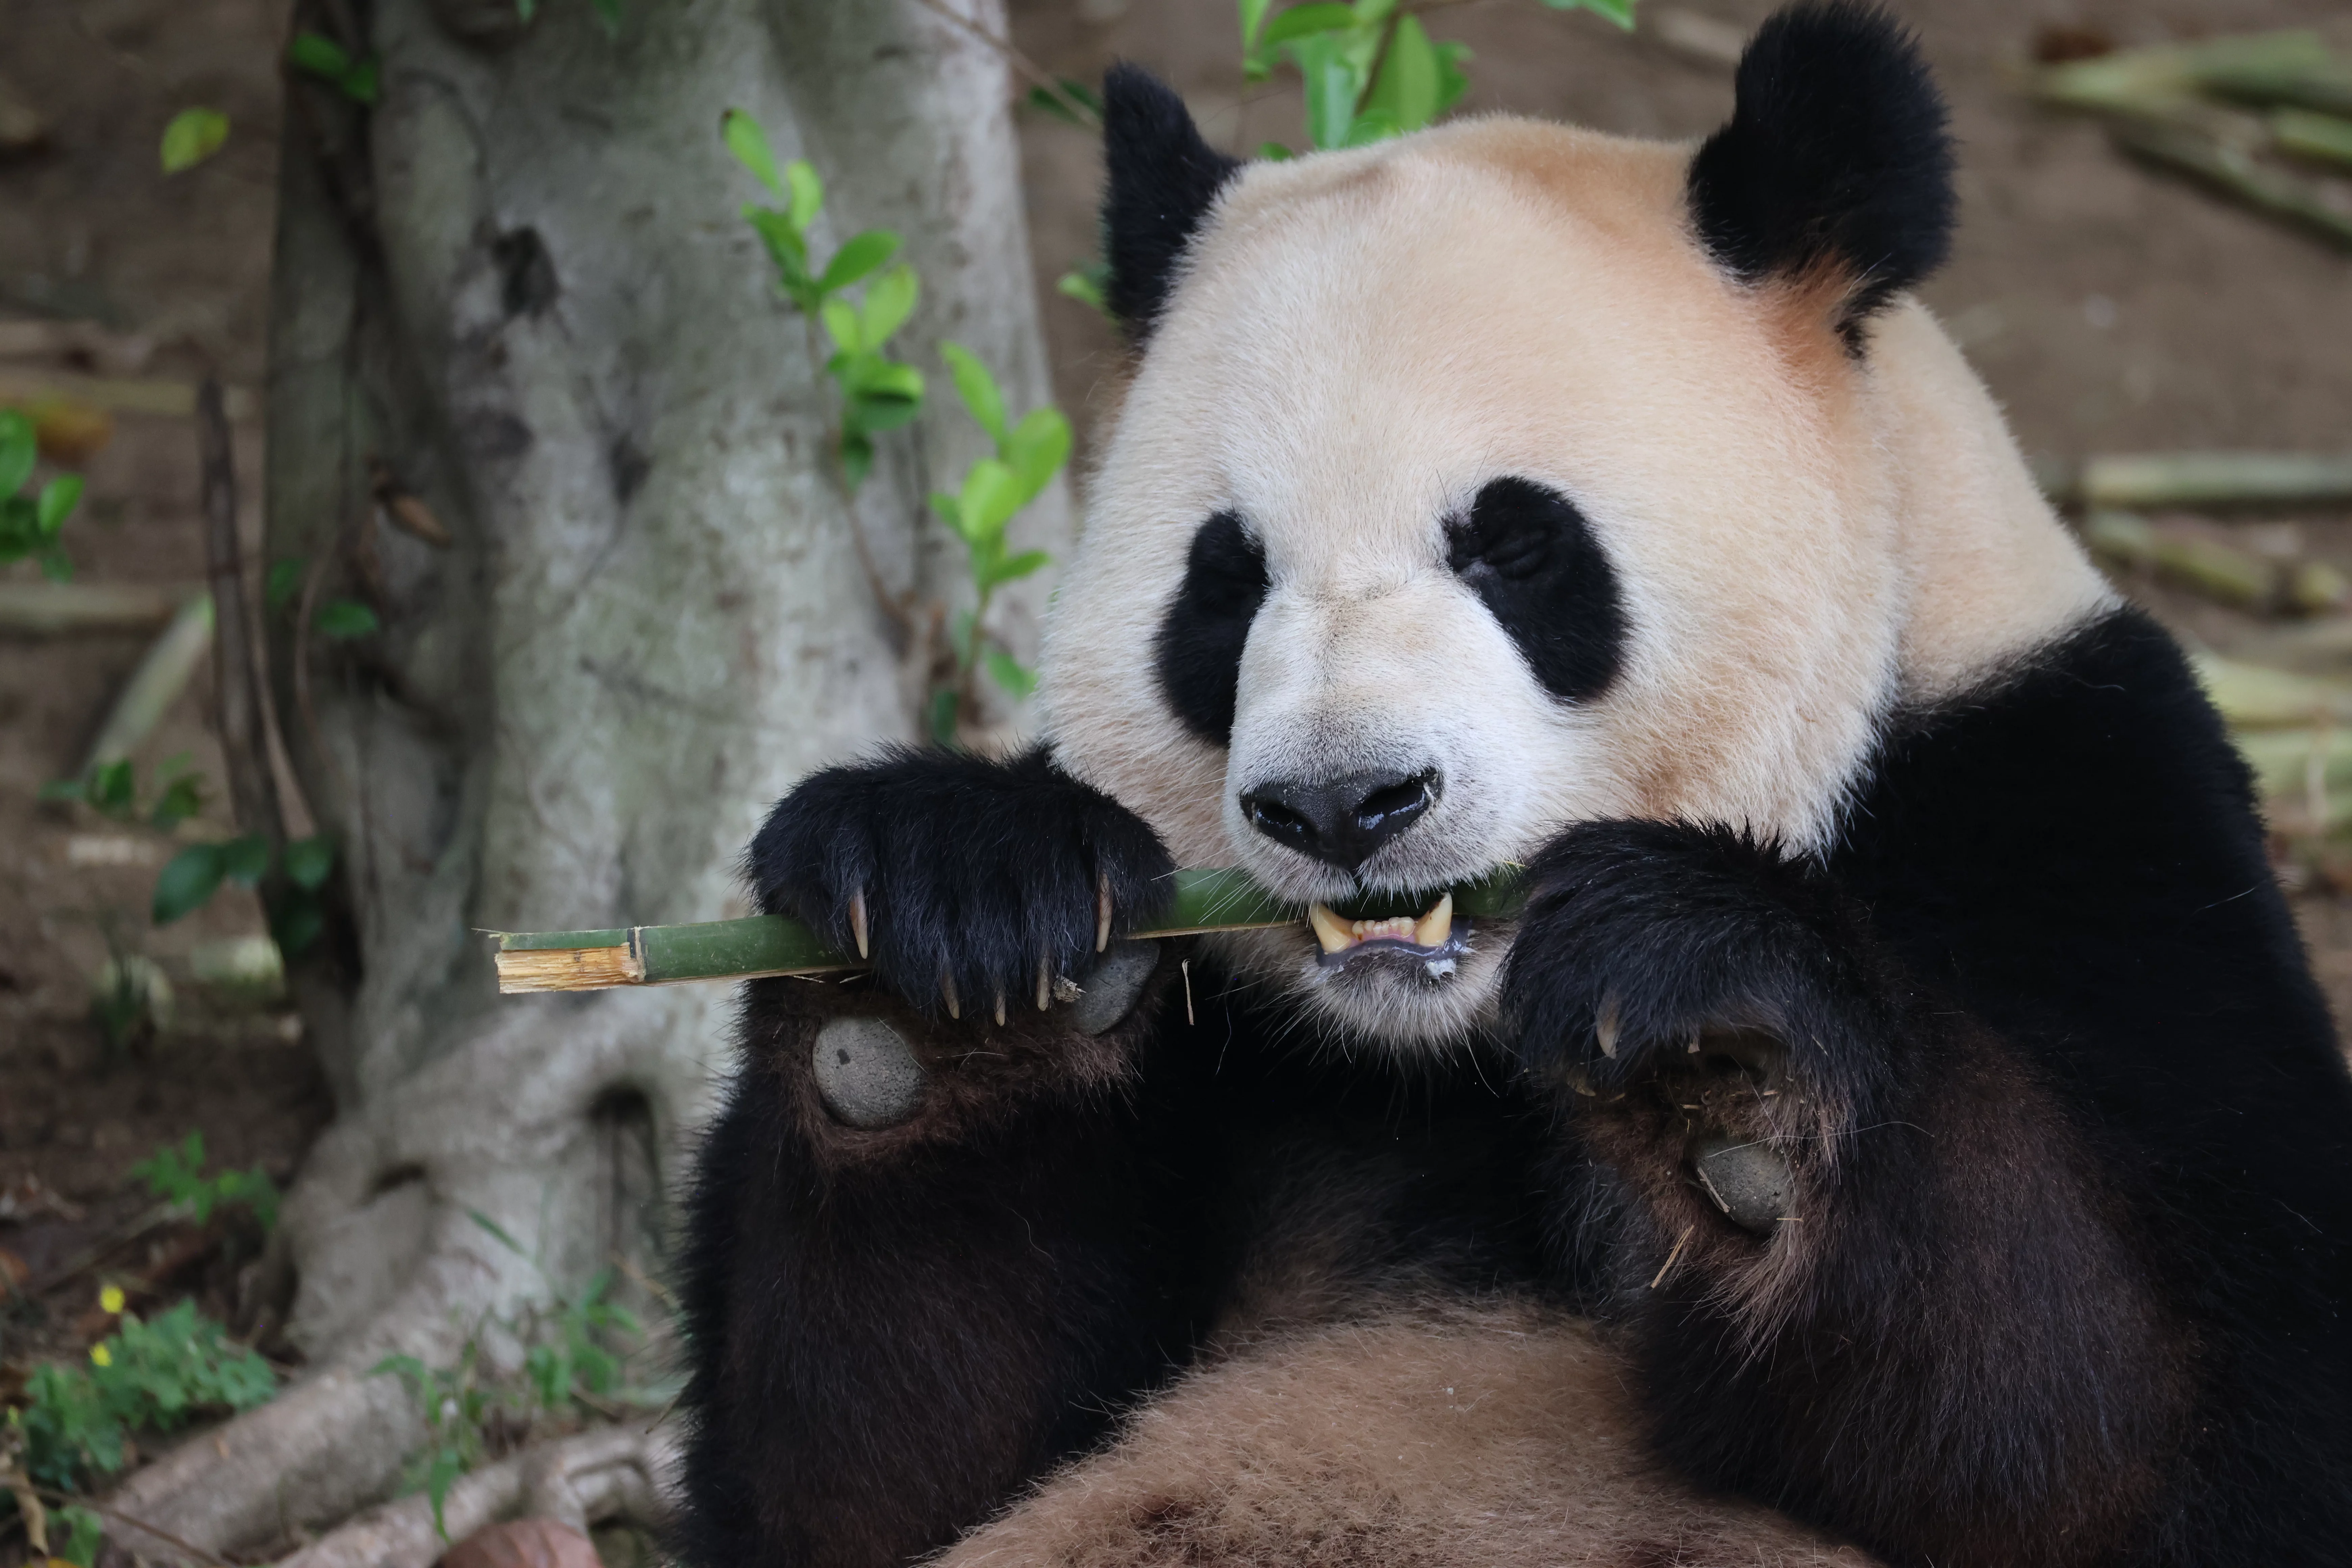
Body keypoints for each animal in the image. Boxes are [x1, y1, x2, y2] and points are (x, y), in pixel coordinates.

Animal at [674, 6, 2352, 1565]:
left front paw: (1720, 1039)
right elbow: (862, 1477)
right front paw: (943, 941)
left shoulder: (2075, 824)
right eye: (1226, 580)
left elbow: (2157, 1437)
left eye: (1514, 543)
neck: (1447, 1046)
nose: (1343, 804)